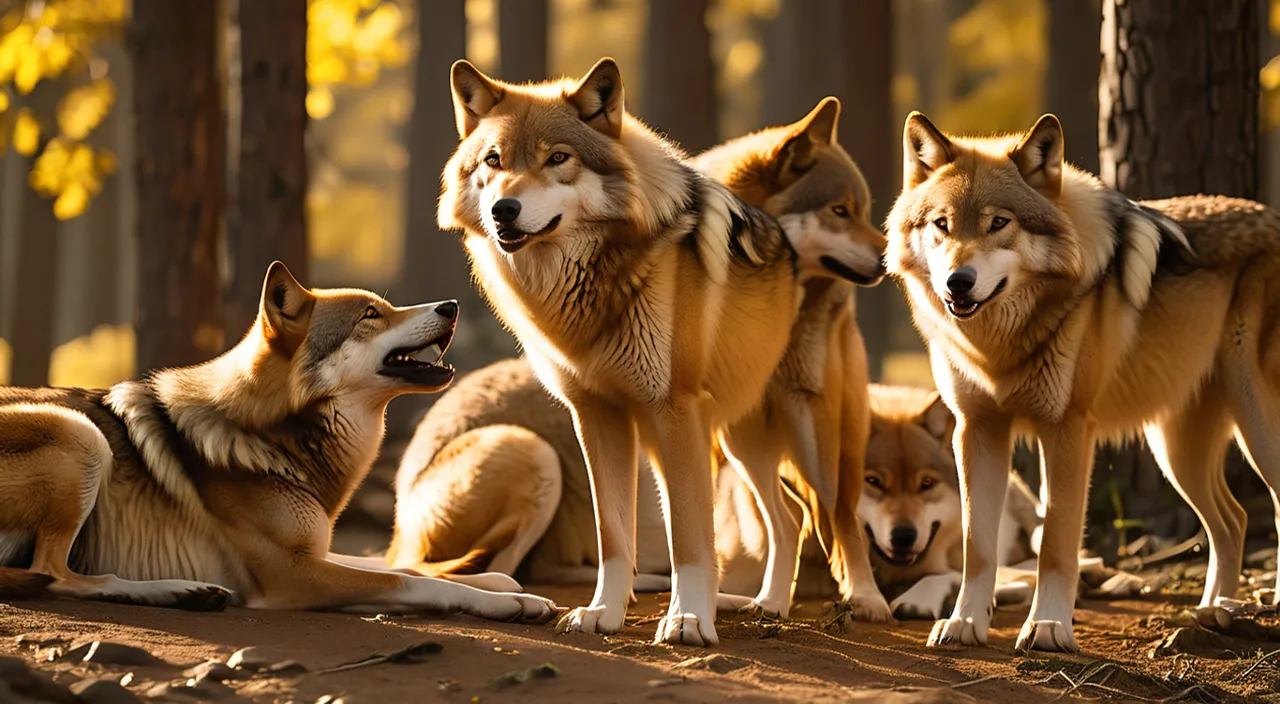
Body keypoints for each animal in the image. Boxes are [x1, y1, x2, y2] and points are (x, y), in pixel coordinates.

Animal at [0, 261, 555, 624]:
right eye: (370, 314)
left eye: (385, 306)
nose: (453, 304)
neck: (273, 436)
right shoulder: (292, 574)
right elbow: (411, 580)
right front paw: (503, 602)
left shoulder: (314, 550)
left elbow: (402, 563)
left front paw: (505, 586)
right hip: (81, 433)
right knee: (56, 576)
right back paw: (180, 590)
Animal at [885, 112, 1280, 655]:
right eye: (941, 225)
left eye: (999, 223)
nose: (957, 283)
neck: (999, 346)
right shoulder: (976, 430)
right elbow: (976, 546)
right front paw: (964, 623)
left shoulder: (1067, 429)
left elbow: (1056, 542)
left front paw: (1049, 628)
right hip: (1175, 451)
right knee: (1234, 521)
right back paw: (1214, 610)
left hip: (1253, 428)